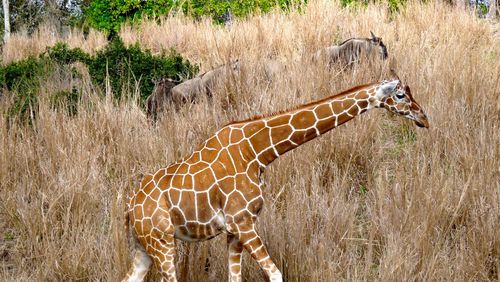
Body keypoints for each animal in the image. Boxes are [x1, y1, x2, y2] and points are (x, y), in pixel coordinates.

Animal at [122, 75, 430, 282]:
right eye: (400, 95)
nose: (424, 118)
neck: (257, 152)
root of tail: (129, 209)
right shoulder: (243, 223)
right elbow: (276, 275)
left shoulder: (235, 230)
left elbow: (236, 278)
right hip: (162, 243)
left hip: (144, 247)